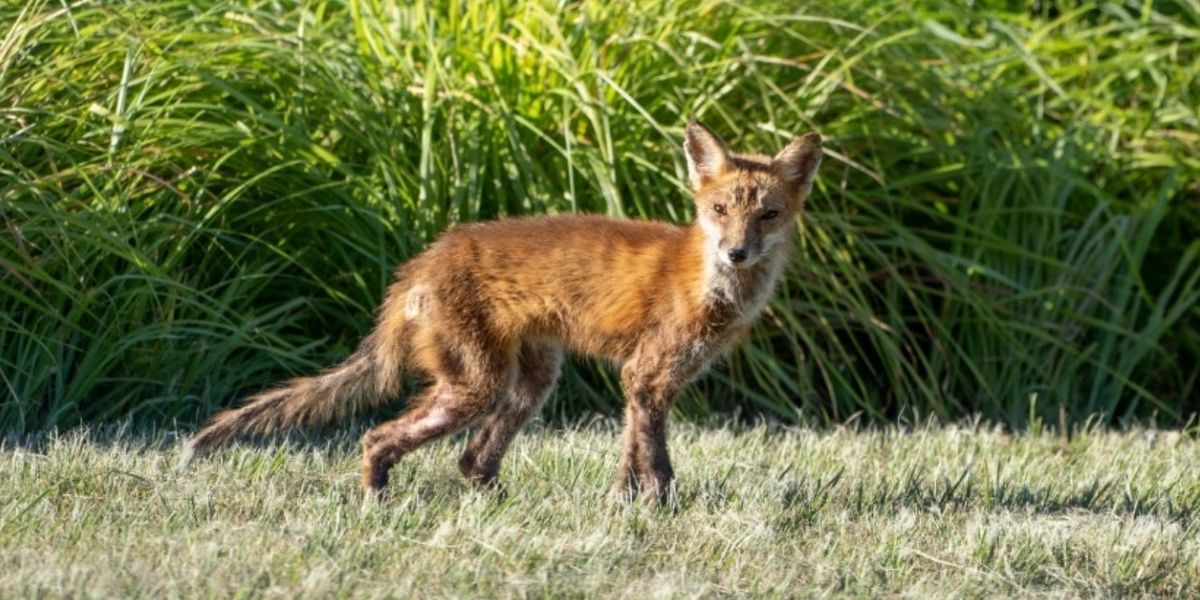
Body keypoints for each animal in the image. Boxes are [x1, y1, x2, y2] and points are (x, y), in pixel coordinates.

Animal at [181, 121, 822, 504]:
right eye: (719, 210)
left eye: (767, 215)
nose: (737, 252)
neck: (709, 286)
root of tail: (424, 259)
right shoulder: (646, 375)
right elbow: (655, 462)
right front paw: (661, 510)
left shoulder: (643, 382)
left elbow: (629, 455)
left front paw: (624, 507)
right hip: (474, 386)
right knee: (377, 438)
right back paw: (376, 505)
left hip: (527, 384)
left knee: (471, 460)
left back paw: (488, 505)